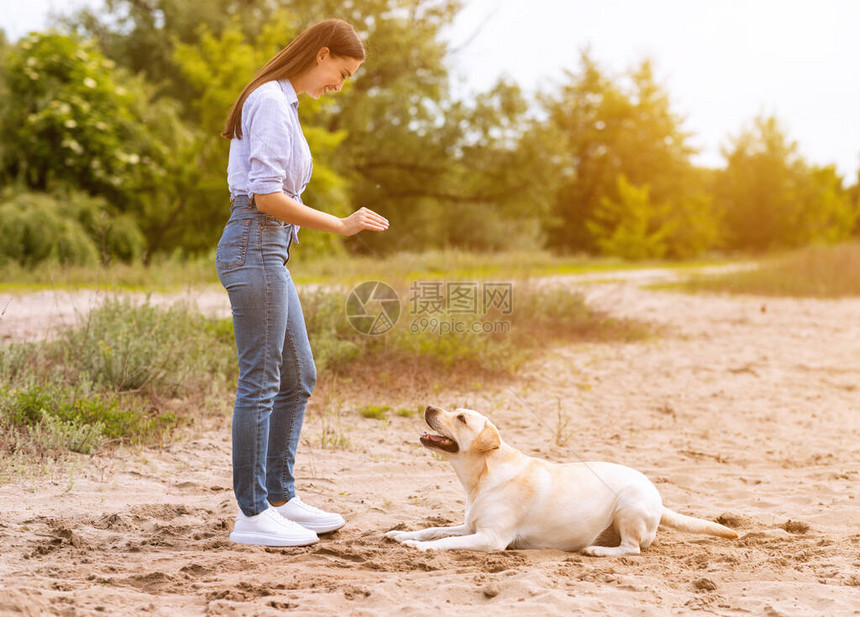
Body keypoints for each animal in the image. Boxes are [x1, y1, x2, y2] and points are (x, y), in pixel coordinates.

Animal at [386, 404, 736, 552]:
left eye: (460, 418)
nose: (429, 405)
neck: (482, 475)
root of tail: (658, 498)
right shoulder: (469, 526)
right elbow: (435, 530)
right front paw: (403, 535)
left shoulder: (491, 538)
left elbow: (445, 542)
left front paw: (419, 548)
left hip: (628, 507)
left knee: (632, 549)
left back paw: (597, 551)